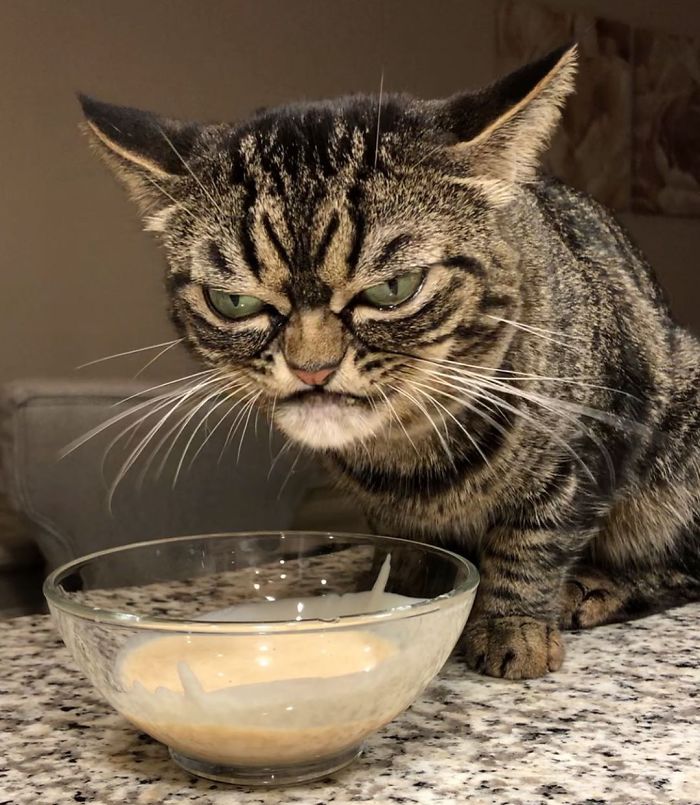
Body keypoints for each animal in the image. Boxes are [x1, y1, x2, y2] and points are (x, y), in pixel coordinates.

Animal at [80, 45, 700, 680]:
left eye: (393, 289)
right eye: (234, 302)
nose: (311, 367)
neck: (408, 457)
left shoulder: (592, 440)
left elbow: (534, 539)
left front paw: (514, 626)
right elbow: (408, 550)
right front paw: (399, 590)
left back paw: (595, 587)